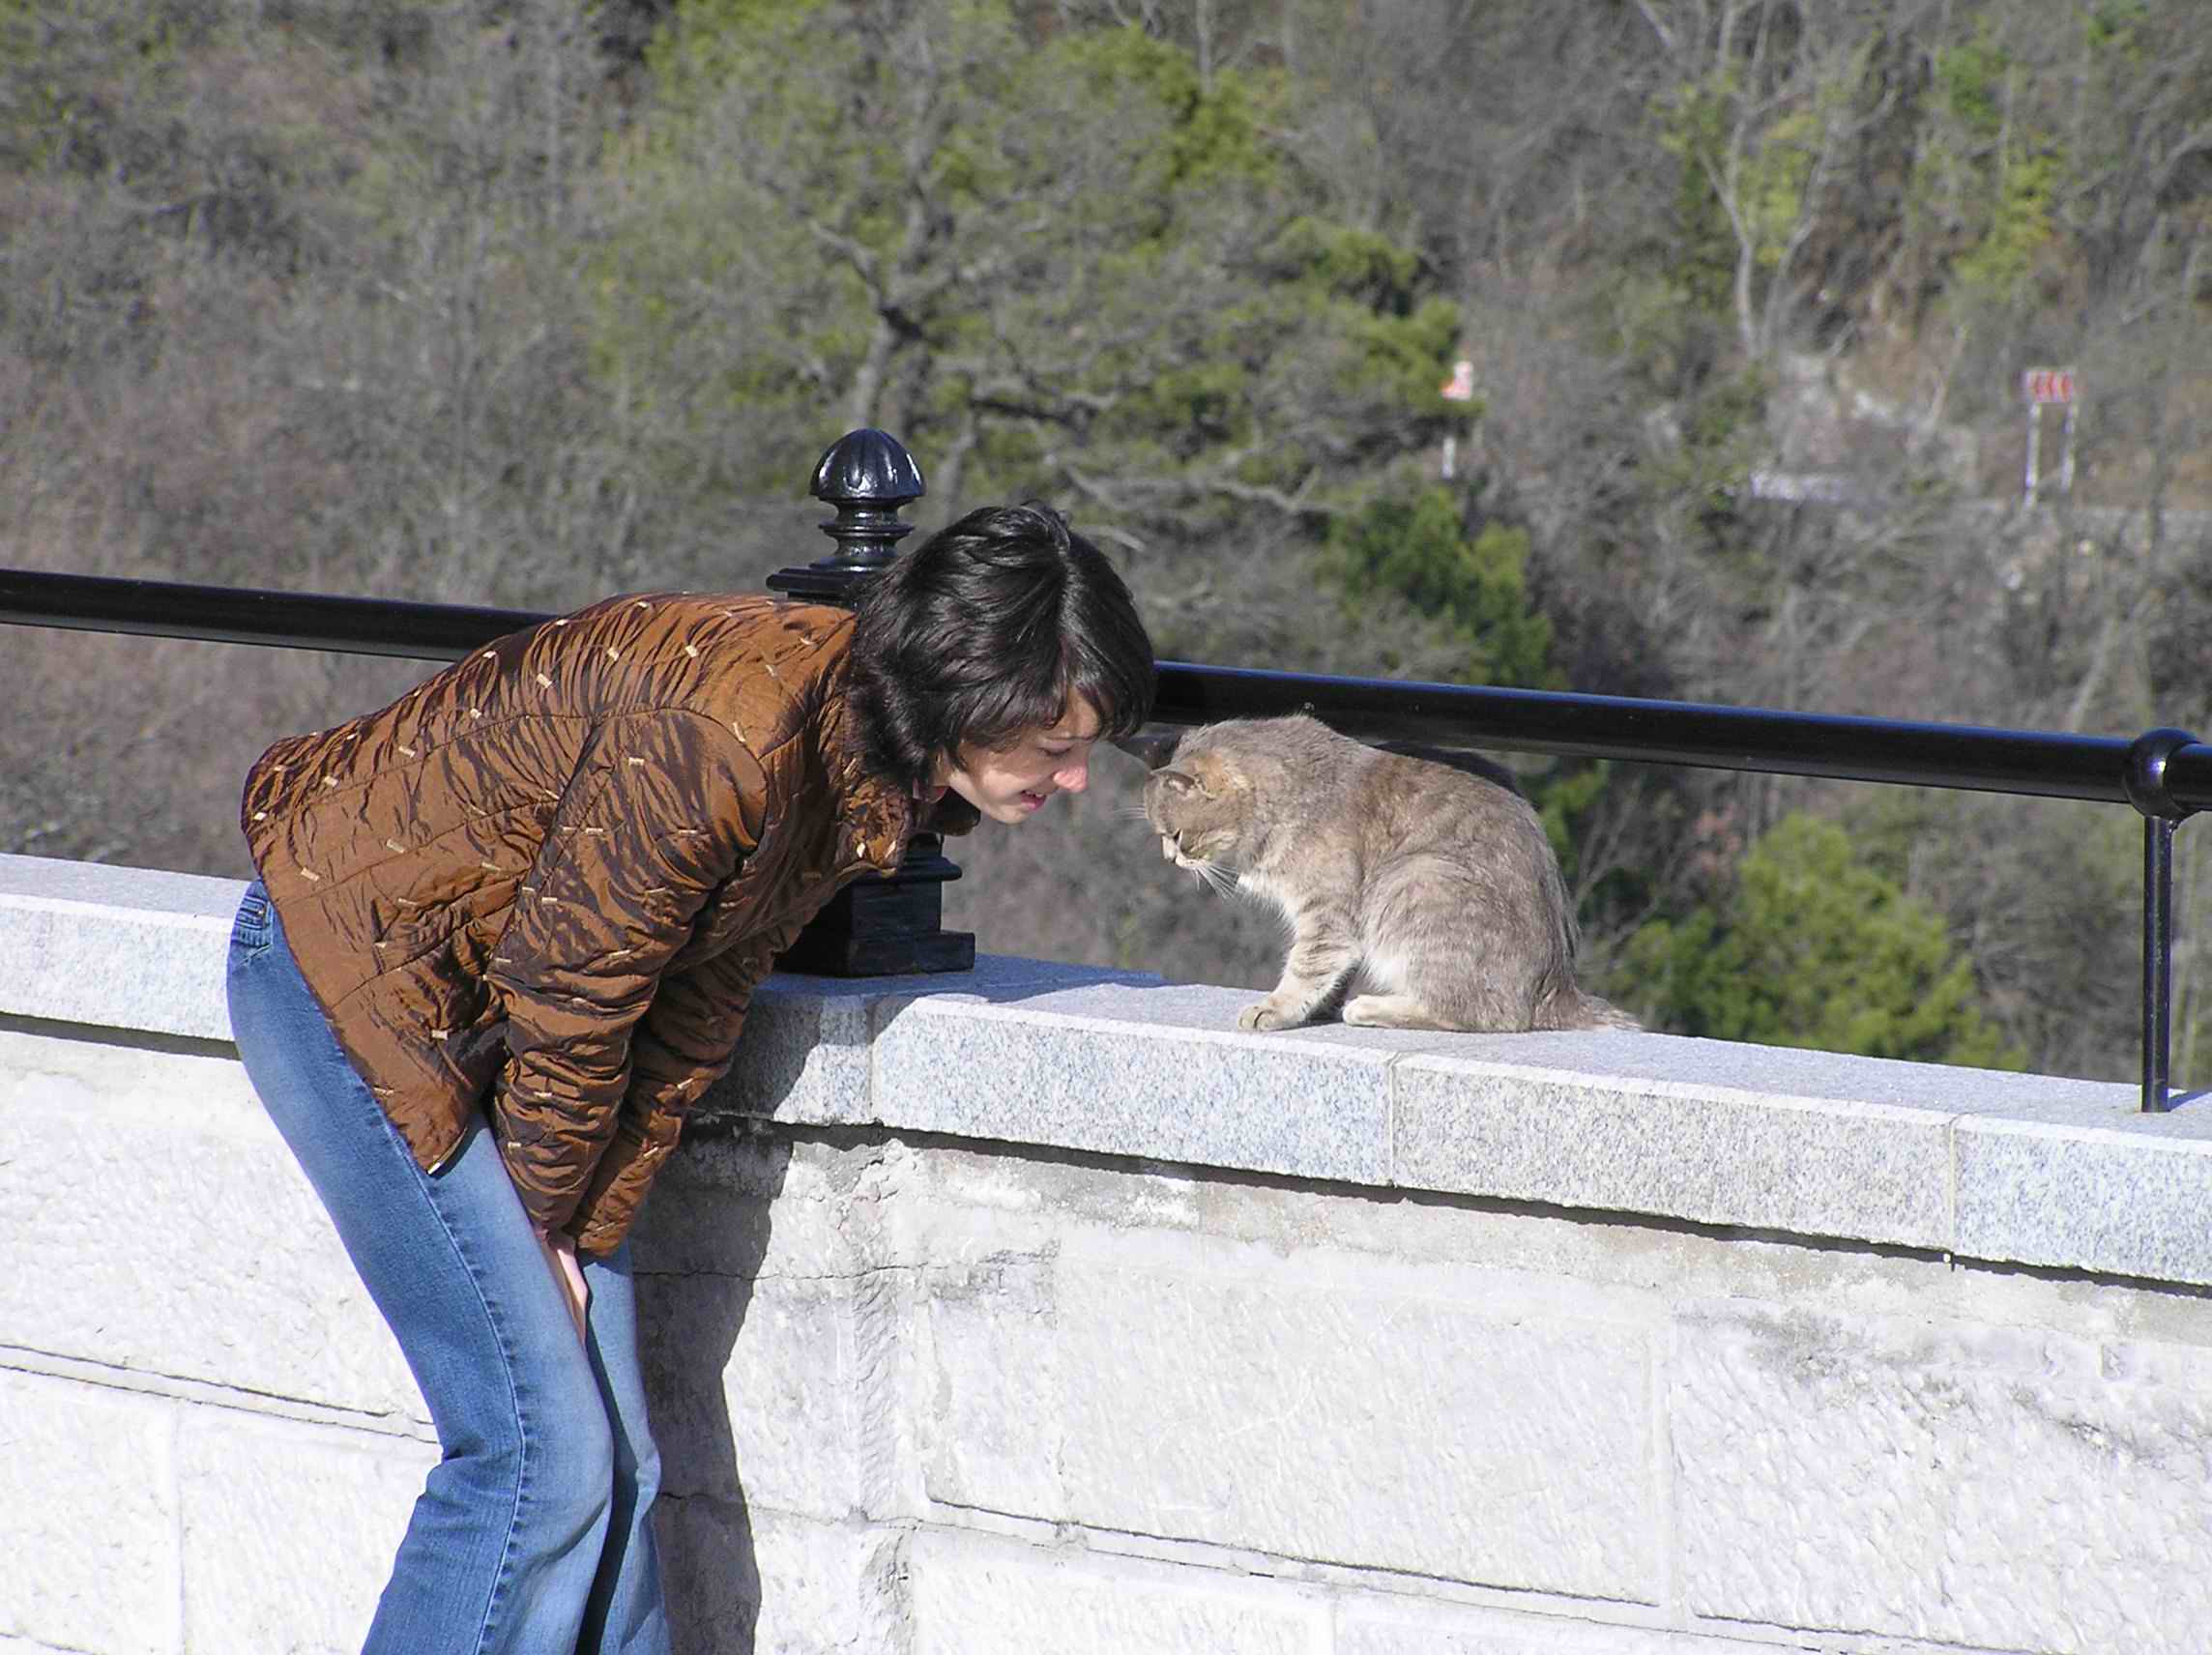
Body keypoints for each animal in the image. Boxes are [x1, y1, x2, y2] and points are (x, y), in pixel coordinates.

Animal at [1141, 711, 1645, 1026]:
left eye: (1176, 835)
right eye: (1164, 837)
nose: (1168, 858)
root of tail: (1559, 987)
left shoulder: (1327, 914)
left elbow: (1307, 967)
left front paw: (1278, 1009)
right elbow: (1334, 973)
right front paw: (1320, 1009)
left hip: (1413, 881)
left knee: (1482, 1013)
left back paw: (1372, 1009)